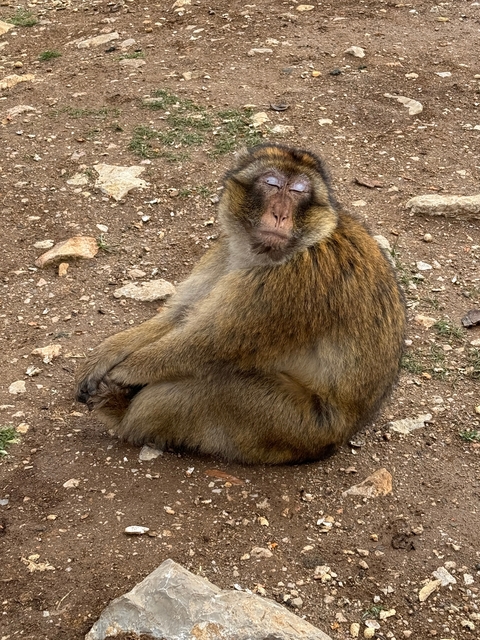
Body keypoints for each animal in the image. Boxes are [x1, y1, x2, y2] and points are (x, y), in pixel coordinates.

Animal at [76, 143, 406, 465]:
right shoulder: (224, 252)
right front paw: (107, 354)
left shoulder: (291, 283)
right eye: (272, 184)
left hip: (296, 426)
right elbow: (178, 318)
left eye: (298, 191)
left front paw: (123, 373)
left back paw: (119, 411)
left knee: (213, 387)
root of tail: (342, 437)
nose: (280, 214)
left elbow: (205, 345)